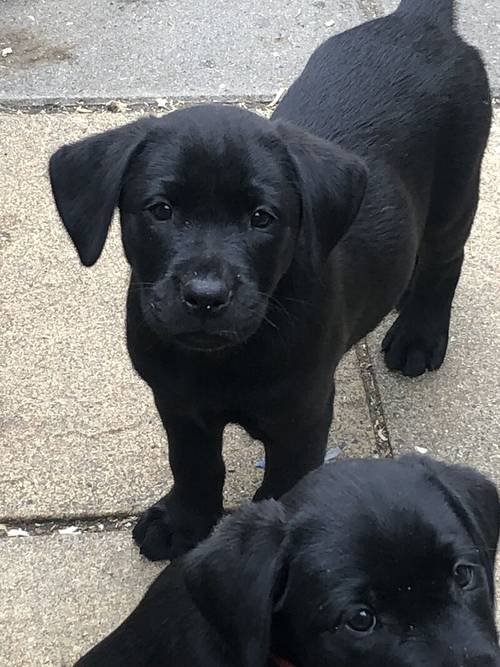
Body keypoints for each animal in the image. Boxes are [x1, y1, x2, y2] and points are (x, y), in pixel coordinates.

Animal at [47, 0, 492, 560]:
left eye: (262, 218)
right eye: (161, 210)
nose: (205, 297)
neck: (223, 359)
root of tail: (420, 22)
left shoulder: (302, 416)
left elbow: (283, 486)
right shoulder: (177, 402)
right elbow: (193, 465)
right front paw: (184, 520)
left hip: (458, 189)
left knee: (443, 261)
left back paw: (418, 335)